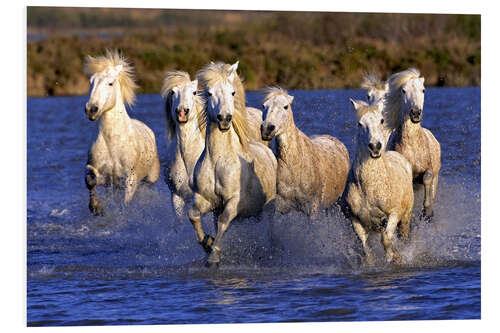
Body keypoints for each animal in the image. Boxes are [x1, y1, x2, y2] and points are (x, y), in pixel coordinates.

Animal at [83, 50, 159, 214]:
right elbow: (89, 181)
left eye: (110, 83)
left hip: (150, 178)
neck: (113, 142)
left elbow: (126, 203)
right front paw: (96, 207)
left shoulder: (130, 179)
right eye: (92, 82)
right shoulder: (103, 175)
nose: (91, 110)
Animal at [188, 61, 278, 266]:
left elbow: (223, 221)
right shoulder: (205, 200)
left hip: (268, 208)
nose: (224, 119)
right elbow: (193, 215)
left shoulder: (233, 200)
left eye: (232, 92)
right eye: (209, 93)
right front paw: (207, 242)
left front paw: (214, 255)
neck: (218, 160)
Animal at [344, 100, 414, 264]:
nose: (375, 146)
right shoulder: (355, 219)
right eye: (360, 123)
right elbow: (364, 245)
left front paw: (392, 257)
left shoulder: (394, 213)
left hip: (406, 218)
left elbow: (386, 238)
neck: (370, 187)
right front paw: (370, 261)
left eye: (382, 121)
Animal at [382, 68, 442, 217]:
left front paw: (427, 211)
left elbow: (427, 177)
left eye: (423, 90)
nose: (415, 113)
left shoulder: (429, 170)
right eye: (403, 91)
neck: (412, 146)